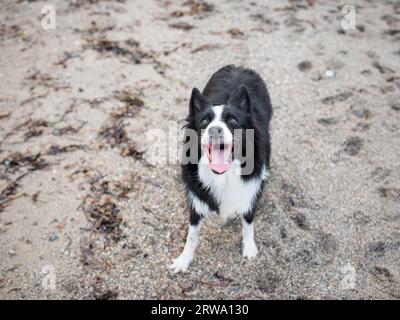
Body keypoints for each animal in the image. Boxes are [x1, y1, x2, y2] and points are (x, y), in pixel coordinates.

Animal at [169, 64, 272, 272]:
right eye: (204, 121)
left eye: (232, 120)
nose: (214, 130)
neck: (224, 175)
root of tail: (239, 67)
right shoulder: (196, 199)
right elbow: (191, 235)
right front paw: (184, 260)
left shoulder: (250, 192)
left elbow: (248, 222)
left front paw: (250, 248)